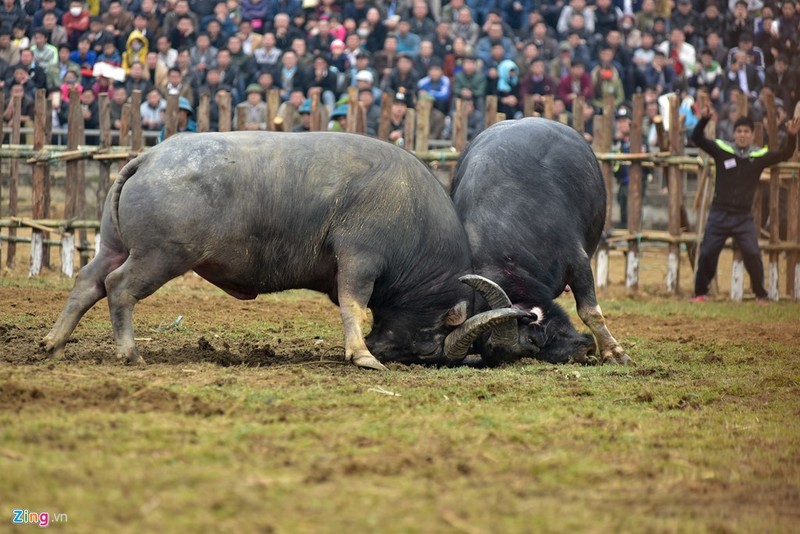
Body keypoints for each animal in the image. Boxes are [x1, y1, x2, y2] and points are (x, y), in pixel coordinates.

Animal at [42, 132, 524, 370]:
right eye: (429, 347)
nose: (388, 352)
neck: (410, 208)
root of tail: (150, 157)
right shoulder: (360, 259)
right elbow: (354, 303)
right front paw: (362, 356)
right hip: (160, 256)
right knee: (119, 288)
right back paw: (129, 353)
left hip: (113, 246)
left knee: (87, 282)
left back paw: (53, 343)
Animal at [450, 119, 632, 366]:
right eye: (531, 351)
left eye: (532, 340)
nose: (583, 353)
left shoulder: (578, 261)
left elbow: (590, 311)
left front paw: (614, 352)